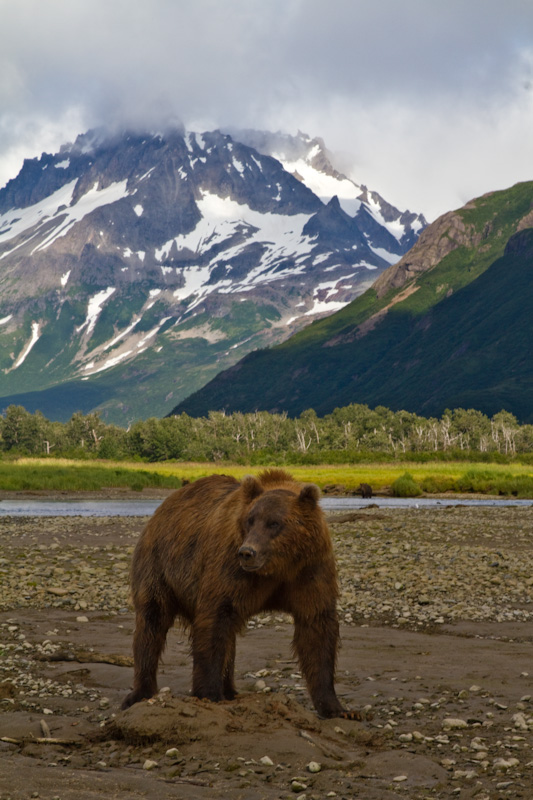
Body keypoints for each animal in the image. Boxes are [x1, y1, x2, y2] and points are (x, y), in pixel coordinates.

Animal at [122, 466, 358, 720]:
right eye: (250, 520)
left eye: (274, 523)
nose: (247, 552)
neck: (278, 567)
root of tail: (164, 506)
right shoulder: (230, 568)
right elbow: (214, 620)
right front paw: (209, 693)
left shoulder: (310, 570)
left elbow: (317, 627)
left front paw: (338, 708)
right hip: (159, 563)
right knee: (152, 621)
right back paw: (140, 693)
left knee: (228, 635)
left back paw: (230, 690)